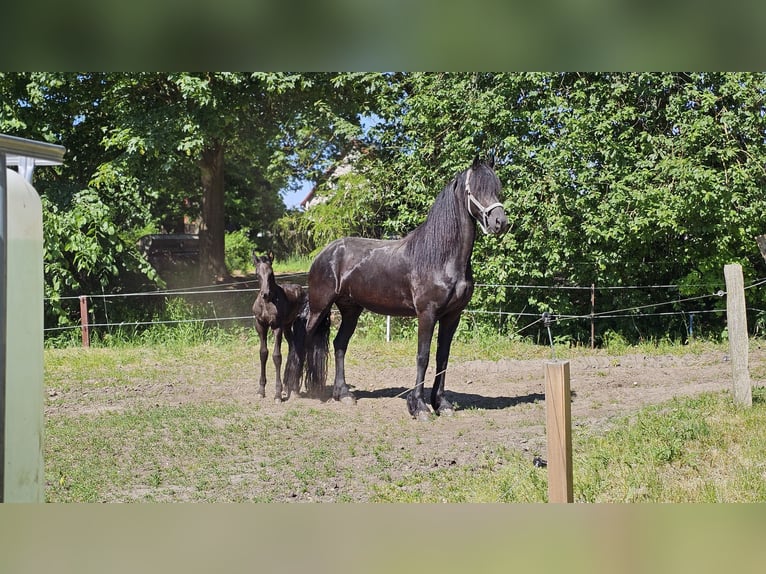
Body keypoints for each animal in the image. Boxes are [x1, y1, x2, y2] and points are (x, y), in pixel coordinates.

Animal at [255, 252, 308, 404]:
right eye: (257, 274)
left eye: (271, 274)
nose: (265, 294)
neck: (267, 304)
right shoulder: (260, 325)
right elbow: (263, 353)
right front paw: (261, 391)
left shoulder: (276, 327)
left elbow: (276, 356)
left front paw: (277, 394)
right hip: (287, 326)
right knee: (292, 347)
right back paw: (287, 386)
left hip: (296, 325)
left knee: (300, 350)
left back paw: (294, 388)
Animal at [288, 160, 510, 420]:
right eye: (473, 190)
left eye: (496, 189)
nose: (500, 223)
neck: (440, 257)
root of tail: (325, 252)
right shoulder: (427, 314)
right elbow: (423, 357)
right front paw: (419, 407)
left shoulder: (452, 316)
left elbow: (442, 357)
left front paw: (442, 405)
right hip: (320, 306)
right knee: (304, 338)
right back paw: (293, 390)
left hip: (351, 310)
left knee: (339, 344)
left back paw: (343, 394)